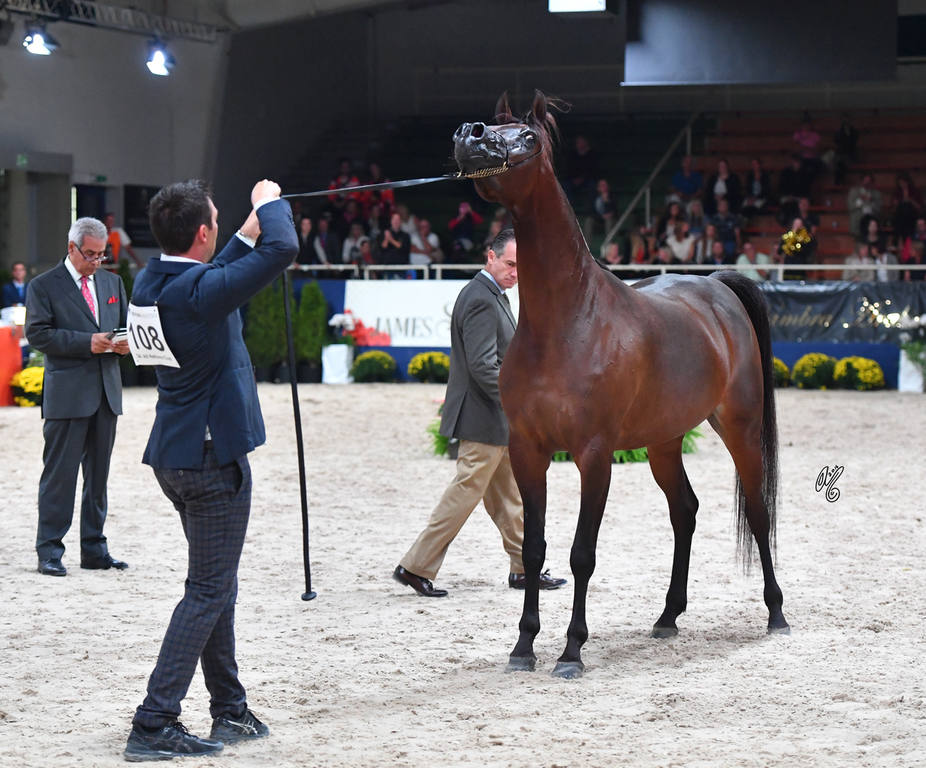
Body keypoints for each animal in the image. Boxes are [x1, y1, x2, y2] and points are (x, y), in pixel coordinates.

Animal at [452, 91, 789, 680]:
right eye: (493, 126)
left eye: (529, 138)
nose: (470, 136)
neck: (567, 322)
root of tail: (716, 287)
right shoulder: (528, 450)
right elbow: (534, 549)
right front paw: (524, 646)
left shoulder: (594, 454)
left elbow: (581, 553)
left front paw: (571, 652)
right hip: (664, 441)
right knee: (685, 511)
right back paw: (668, 615)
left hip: (741, 429)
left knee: (756, 509)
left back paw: (775, 613)